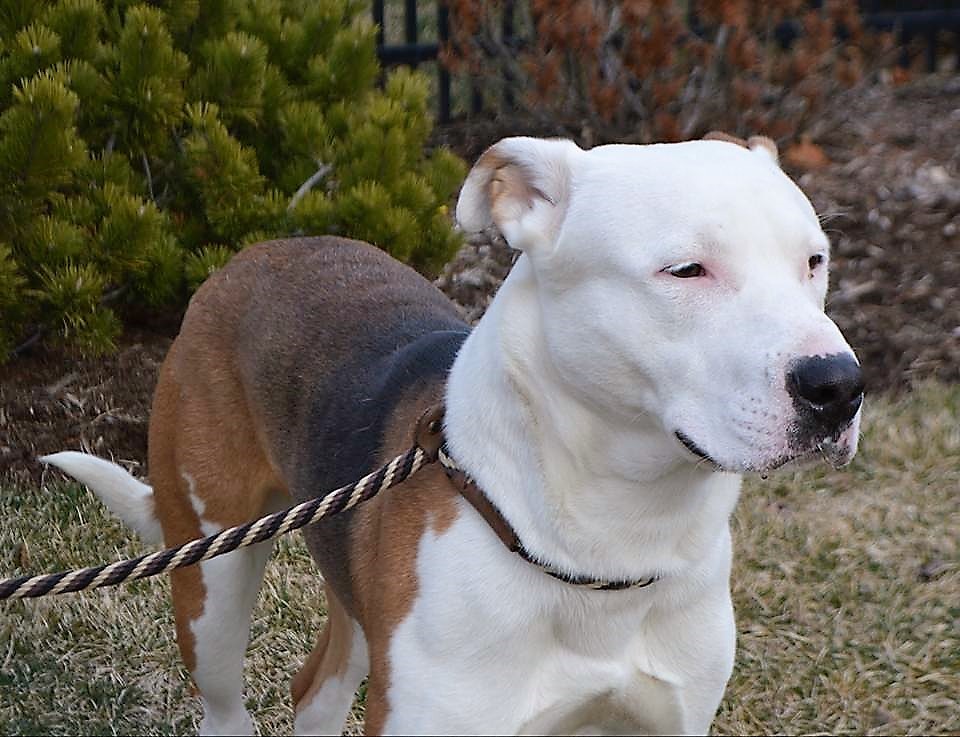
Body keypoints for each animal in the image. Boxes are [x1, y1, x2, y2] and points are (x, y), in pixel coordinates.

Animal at [45, 134, 868, 736]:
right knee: (224, 699)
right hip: (211, 580)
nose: (838, 386)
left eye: (814, 261)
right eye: (687, 270)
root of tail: (252, 255)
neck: (606, 544)